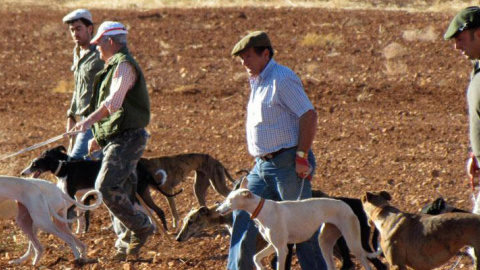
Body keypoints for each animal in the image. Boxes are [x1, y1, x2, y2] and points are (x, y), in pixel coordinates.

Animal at [20, 146, 178, 232]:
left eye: (34, 164)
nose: (22, 173)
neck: (65, 167)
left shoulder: (73, 197)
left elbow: (76, 214)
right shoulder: (79, 198)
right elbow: (81, 216)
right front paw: (80, 231)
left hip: (134, 196)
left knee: (148, 211)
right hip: (141, 194)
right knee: (155, 211)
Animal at [216, 188, 376, 270]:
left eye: (230, 200)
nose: (217, 210)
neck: (263, 210)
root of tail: (346, 205)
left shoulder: (282, 249)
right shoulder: (273, 245)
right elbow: (255, 257)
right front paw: (261, 268)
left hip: (353, 243)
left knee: (365, 262)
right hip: (325, 242)